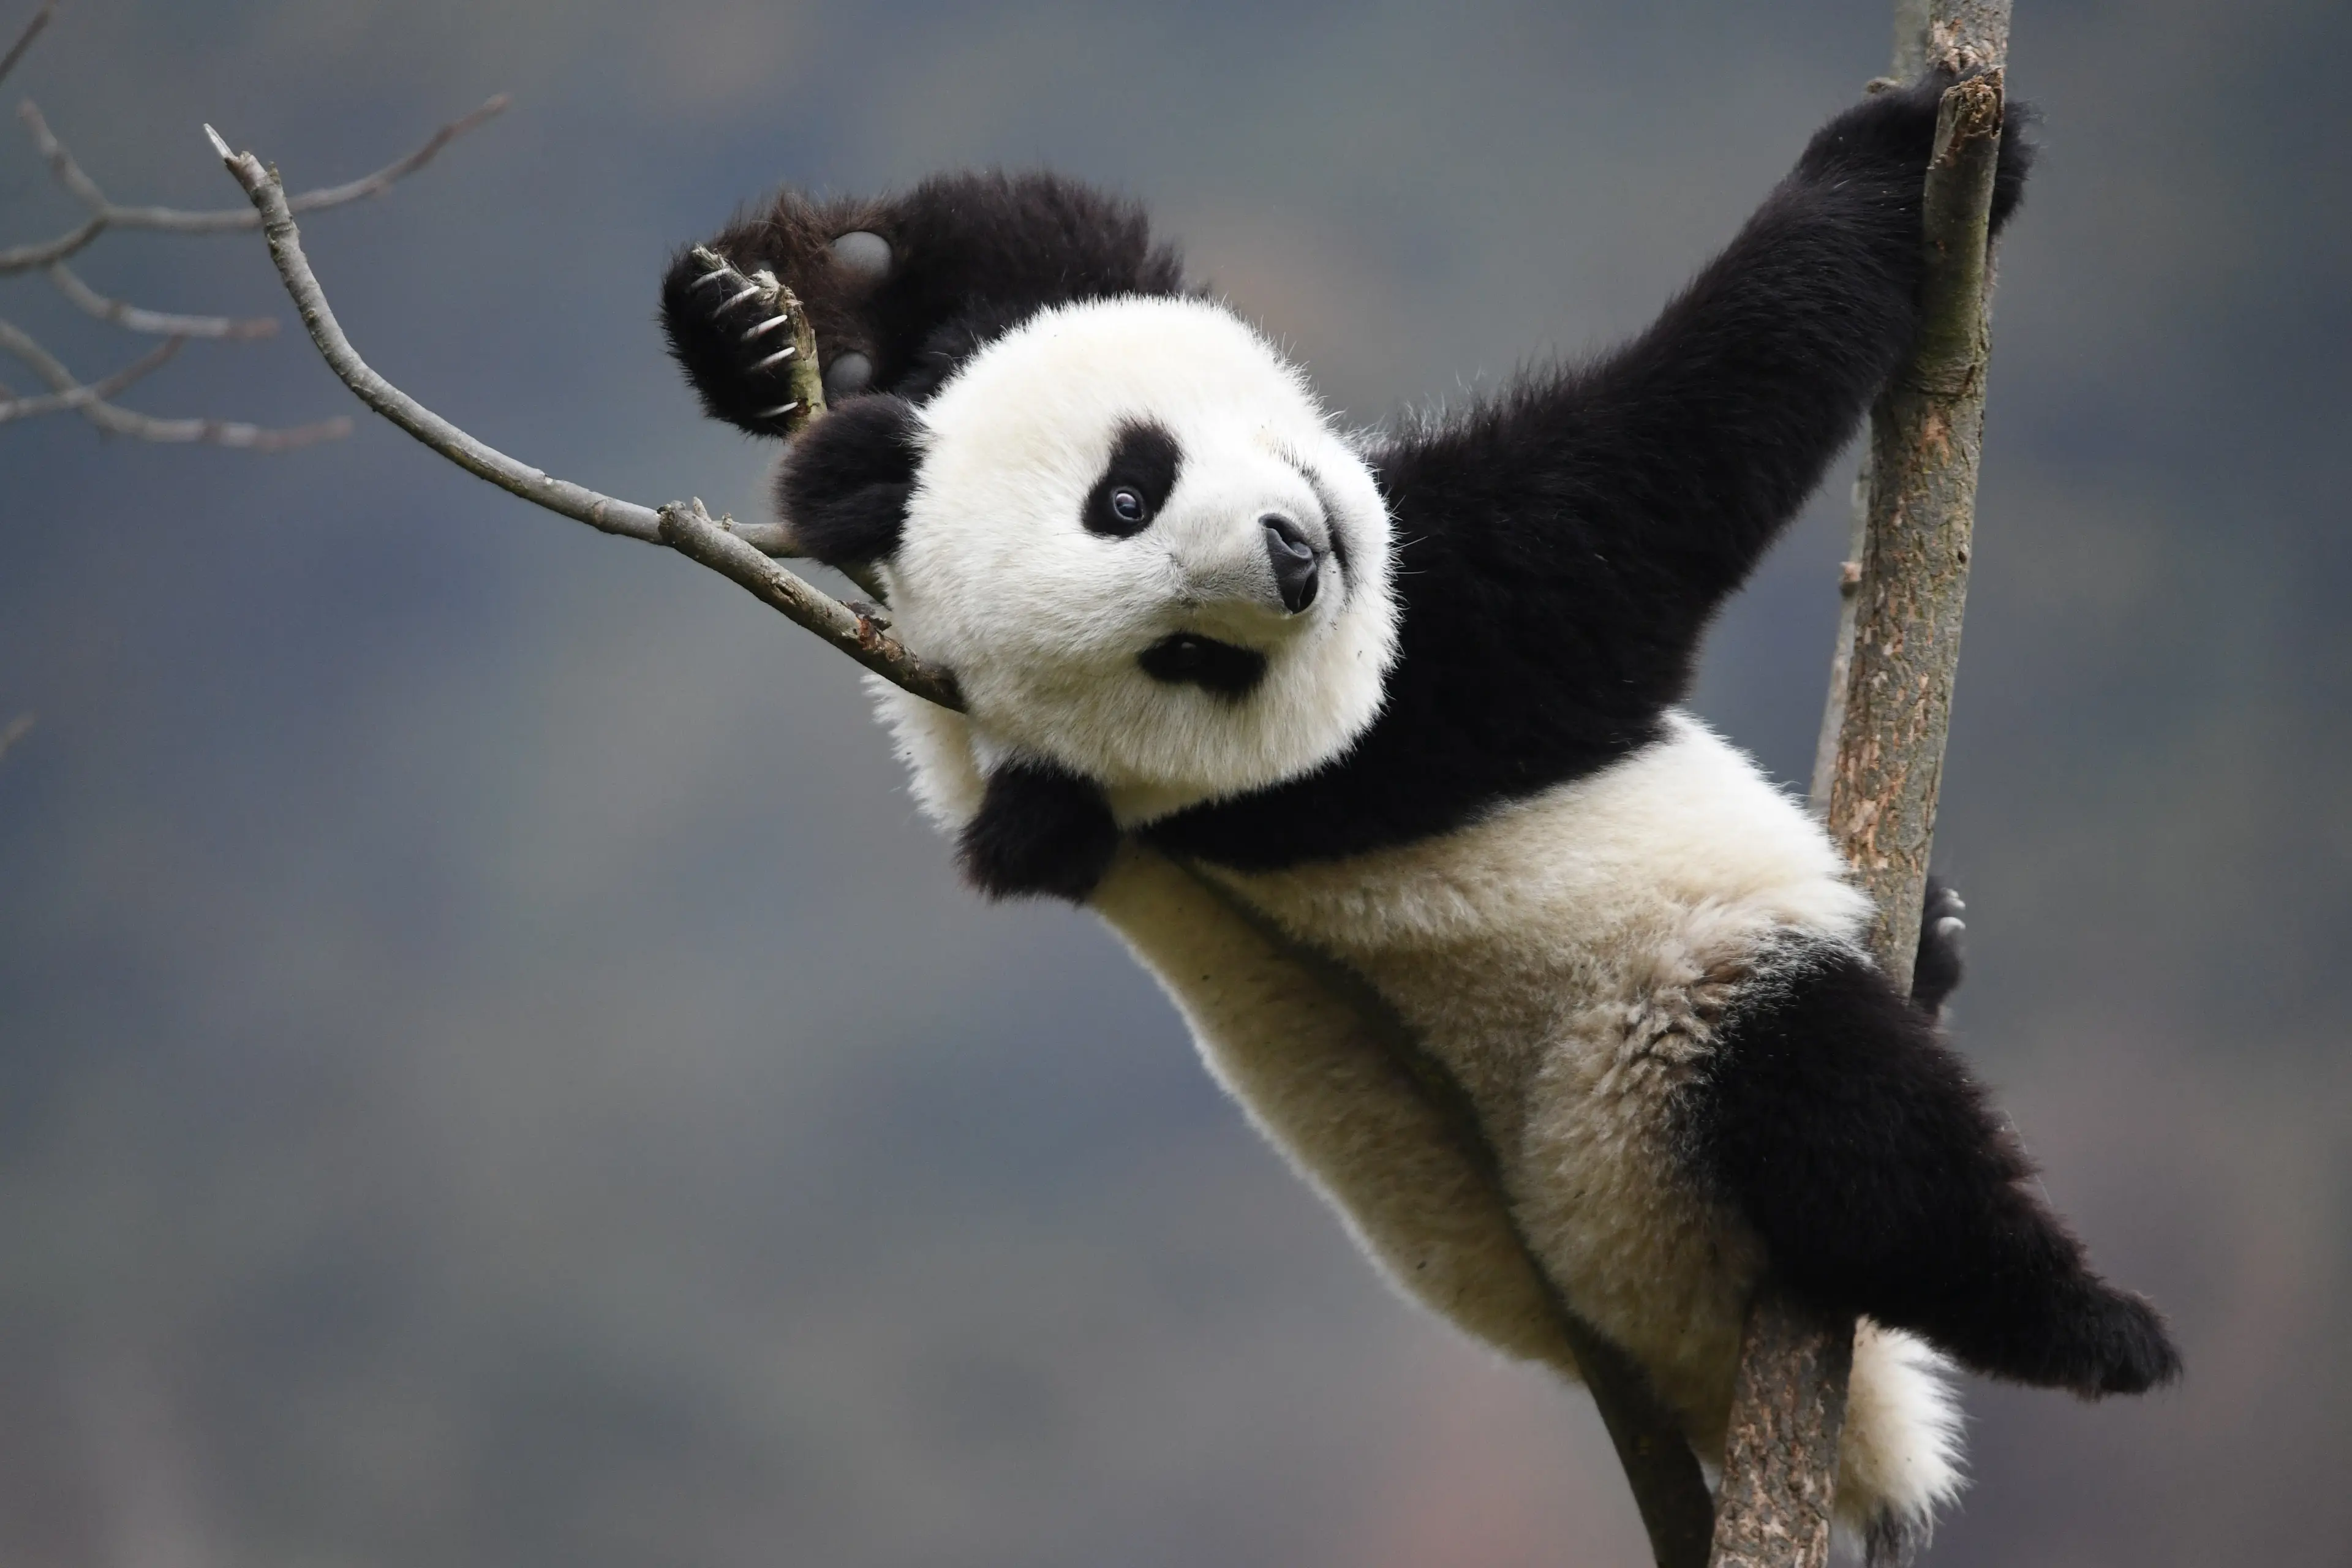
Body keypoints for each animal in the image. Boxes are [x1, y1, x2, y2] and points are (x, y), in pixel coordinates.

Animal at [661, 73, 2178, 1560]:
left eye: (1125, 491)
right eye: (1187, 660)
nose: (1294, 558)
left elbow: (1047, 266)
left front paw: (770, 320)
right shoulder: (1377, 738)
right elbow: (1612, 530)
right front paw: (1894, 166)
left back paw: (1939, 935)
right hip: (1633, 1106)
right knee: (1841, 1116)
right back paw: (2087, 1321)